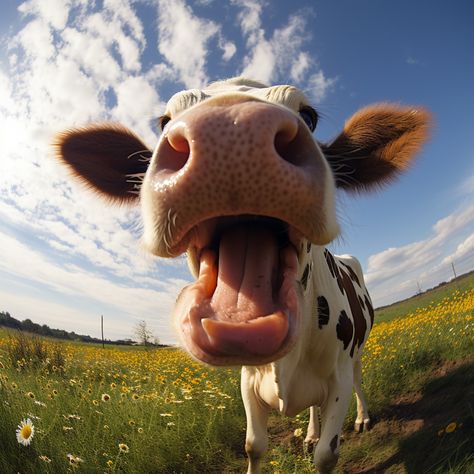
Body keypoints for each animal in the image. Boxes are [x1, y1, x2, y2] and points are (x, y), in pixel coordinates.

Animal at [54, 76, 430, 472]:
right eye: (164, 120)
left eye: (309, 116)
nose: (231, 128)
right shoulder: (248, 382)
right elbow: (254, 446)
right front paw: (297, 440)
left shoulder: (338, 378)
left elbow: (327, 454)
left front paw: (331, 439)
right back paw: (310, 432)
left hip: (356, 354)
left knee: (358, 381)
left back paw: (362, 417)